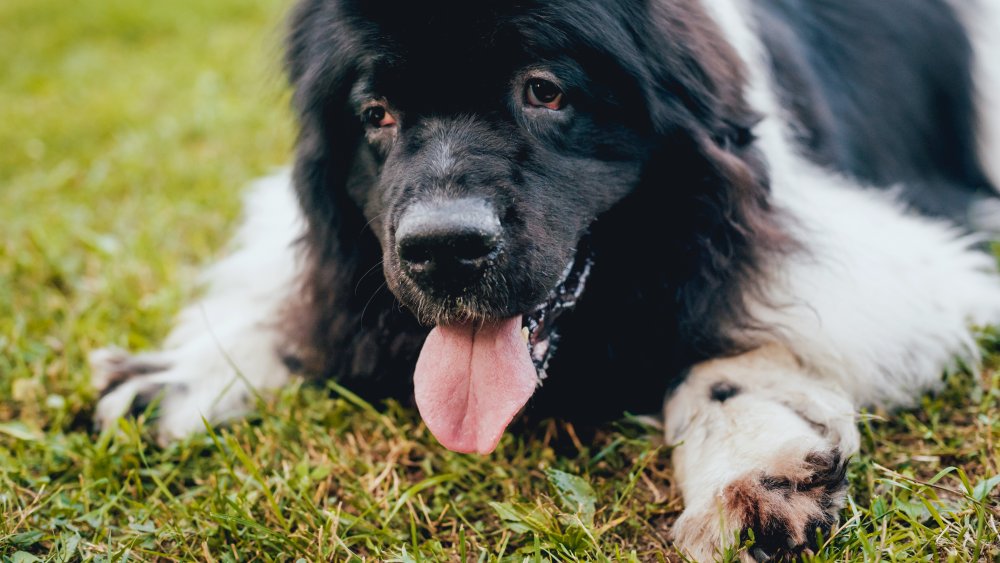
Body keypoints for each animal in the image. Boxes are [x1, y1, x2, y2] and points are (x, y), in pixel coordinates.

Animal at [90, 0, 1000, 560]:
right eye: (376, 114)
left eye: (545, 91)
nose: (443, 247)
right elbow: (309, 303)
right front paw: (176, 374)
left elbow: (727, 329)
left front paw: (753, 465)